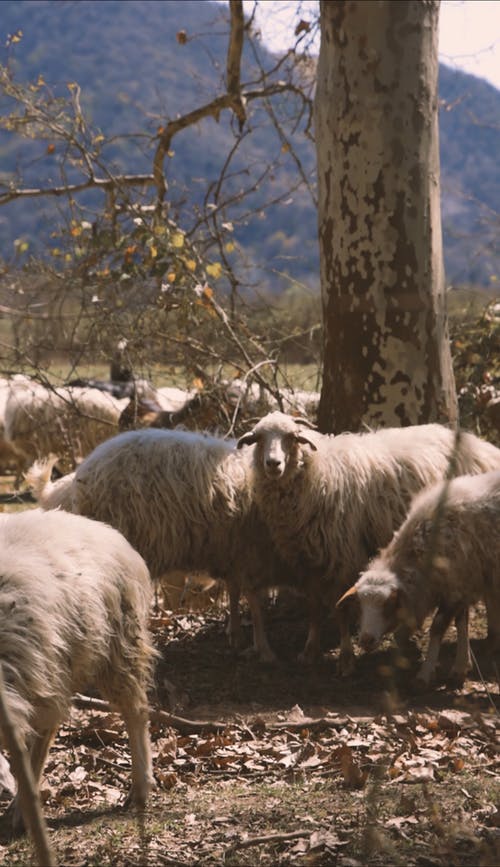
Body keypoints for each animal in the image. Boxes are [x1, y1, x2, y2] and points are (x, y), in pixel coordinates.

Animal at [0, 508, 156, 836]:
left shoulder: (39, 683)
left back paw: (140, 787)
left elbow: (32, 755)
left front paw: (22, 812)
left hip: (118, 646)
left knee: (136, 710)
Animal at [336, 468, 500, 684]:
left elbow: (438, 627)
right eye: (360, 605)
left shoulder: (456, 588)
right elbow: (461, 623)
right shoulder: (461, 584)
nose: (366, 640)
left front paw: (426, 672)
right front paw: (460, 667)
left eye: (388, 605)